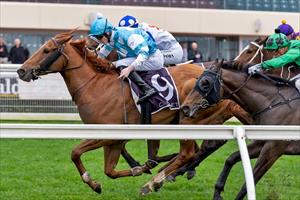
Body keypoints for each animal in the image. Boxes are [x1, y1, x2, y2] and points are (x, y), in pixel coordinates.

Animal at [17, 29, 253, 194]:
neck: (96, 85)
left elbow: (75, 152)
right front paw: (135, 169)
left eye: (46, 50)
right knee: (197, 150)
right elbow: (110, 171)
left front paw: (93, 181)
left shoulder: (109, 133)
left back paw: (156, 181)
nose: (21, 70)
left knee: (189, 152)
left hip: (189, 120)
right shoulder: (116, 140)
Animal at [180, 60, 300, 199]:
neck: (273, 103)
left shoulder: (273, 149)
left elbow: (248, 183)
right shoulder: (261, 143)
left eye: (205, 83)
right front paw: (218, 192)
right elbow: (231, 158)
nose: (185, 107)